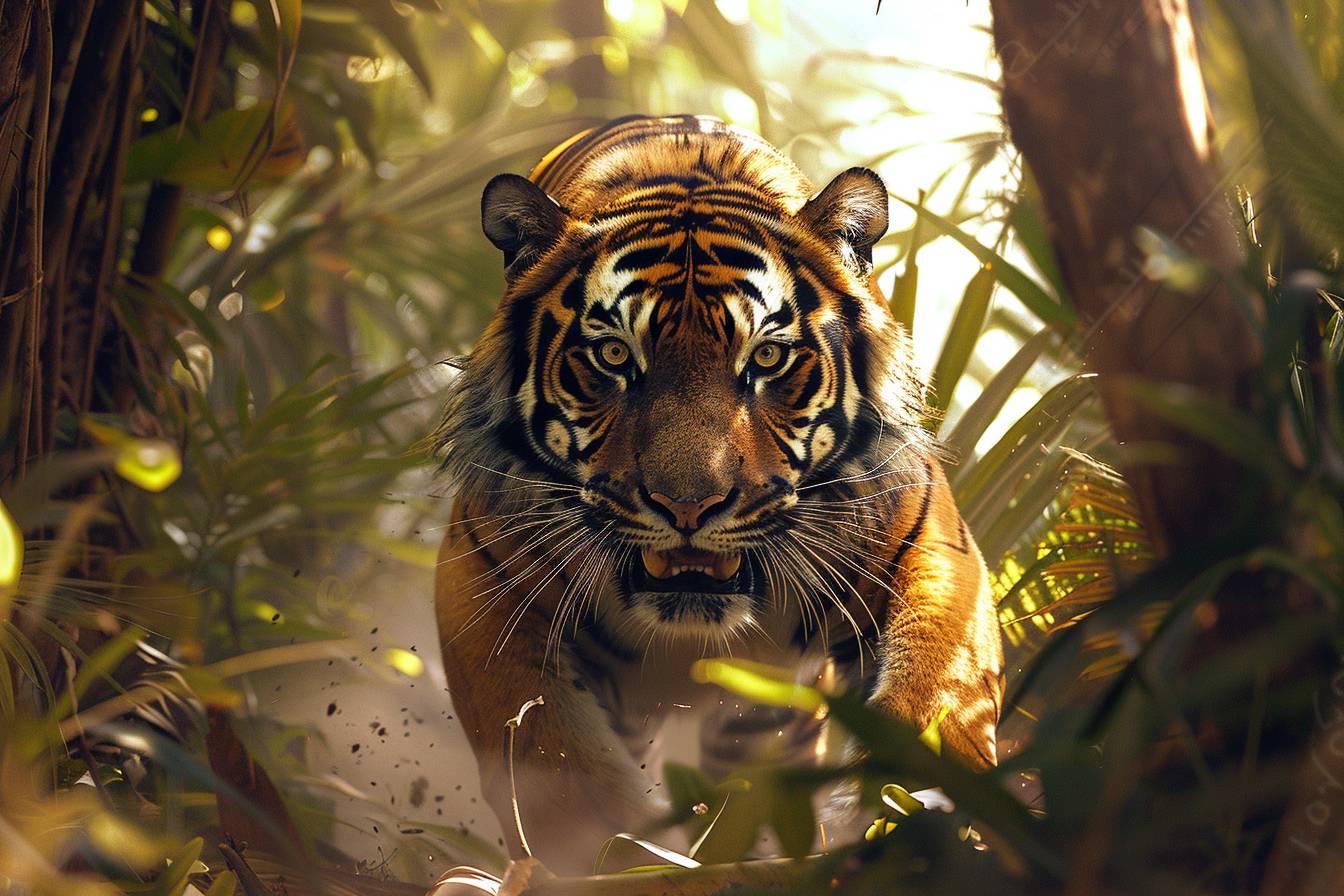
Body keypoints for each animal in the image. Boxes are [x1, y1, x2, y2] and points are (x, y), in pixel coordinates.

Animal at [433, 114, 1002, 875]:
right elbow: (555, 762)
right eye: (614, 356)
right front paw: (624, 856)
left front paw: (911, 813)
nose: (688, 507)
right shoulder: (480, 583)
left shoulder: (932, 547)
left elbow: (940, 691)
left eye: (767, 357)